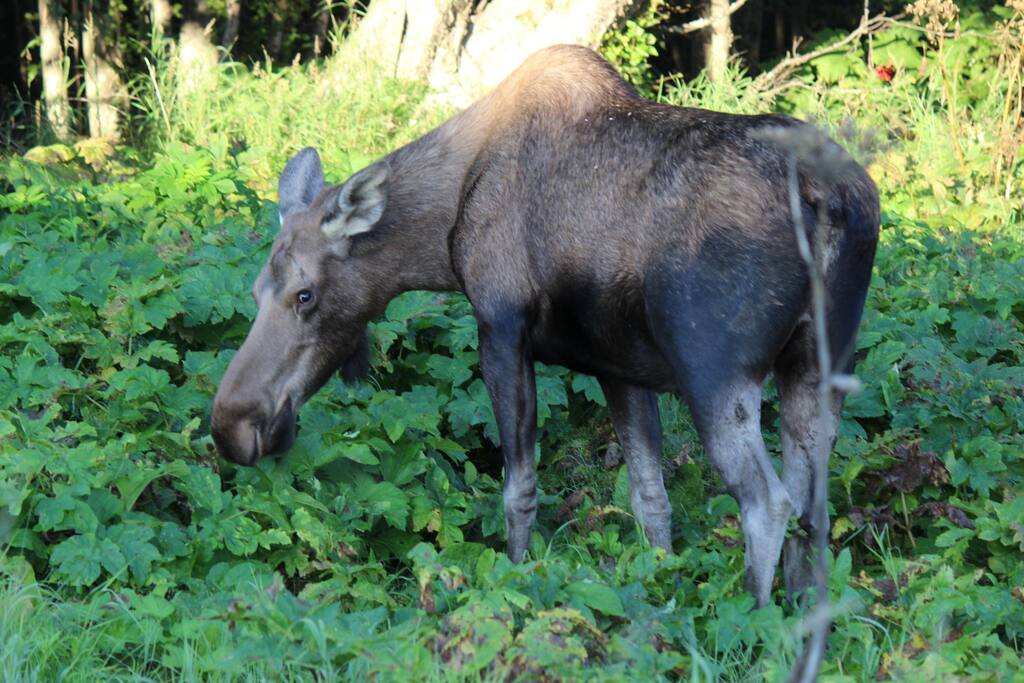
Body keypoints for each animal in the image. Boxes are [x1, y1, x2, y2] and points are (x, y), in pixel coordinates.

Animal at [211, 44, 879, 607]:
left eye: (305, 294)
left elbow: (519, 491)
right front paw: (657, 592)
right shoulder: (620, 365)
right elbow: (650, 500)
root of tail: (830, 198)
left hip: (715, 369)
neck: (444, 235)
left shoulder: (502, 326)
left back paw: (756, 620)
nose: (232, 427)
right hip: (819, 365)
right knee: (813, 505)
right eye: (255, 291)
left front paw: (515, 579)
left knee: (769, 501)